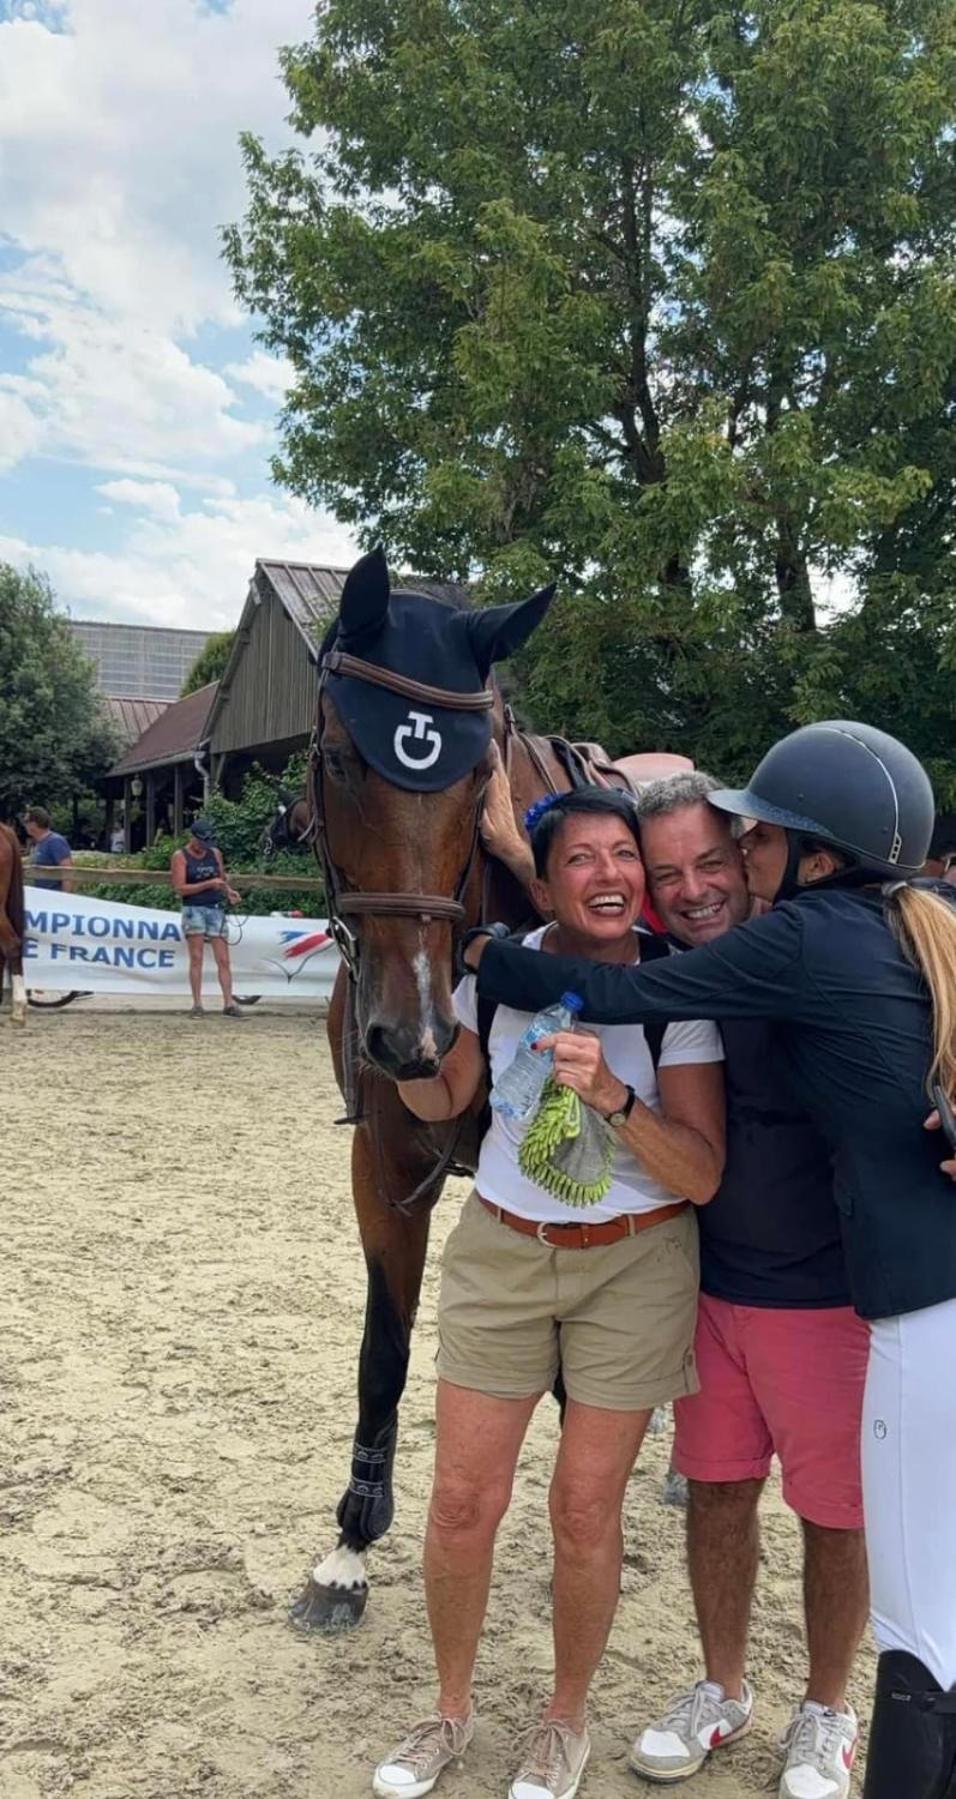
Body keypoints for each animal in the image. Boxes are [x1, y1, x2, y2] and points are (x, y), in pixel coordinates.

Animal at [284, 546, 687, 1633]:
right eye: (340, 757)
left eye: (476, 777)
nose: (411, 1034)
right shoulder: (384, 1163)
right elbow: (383, 1348)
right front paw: (349, 1543)